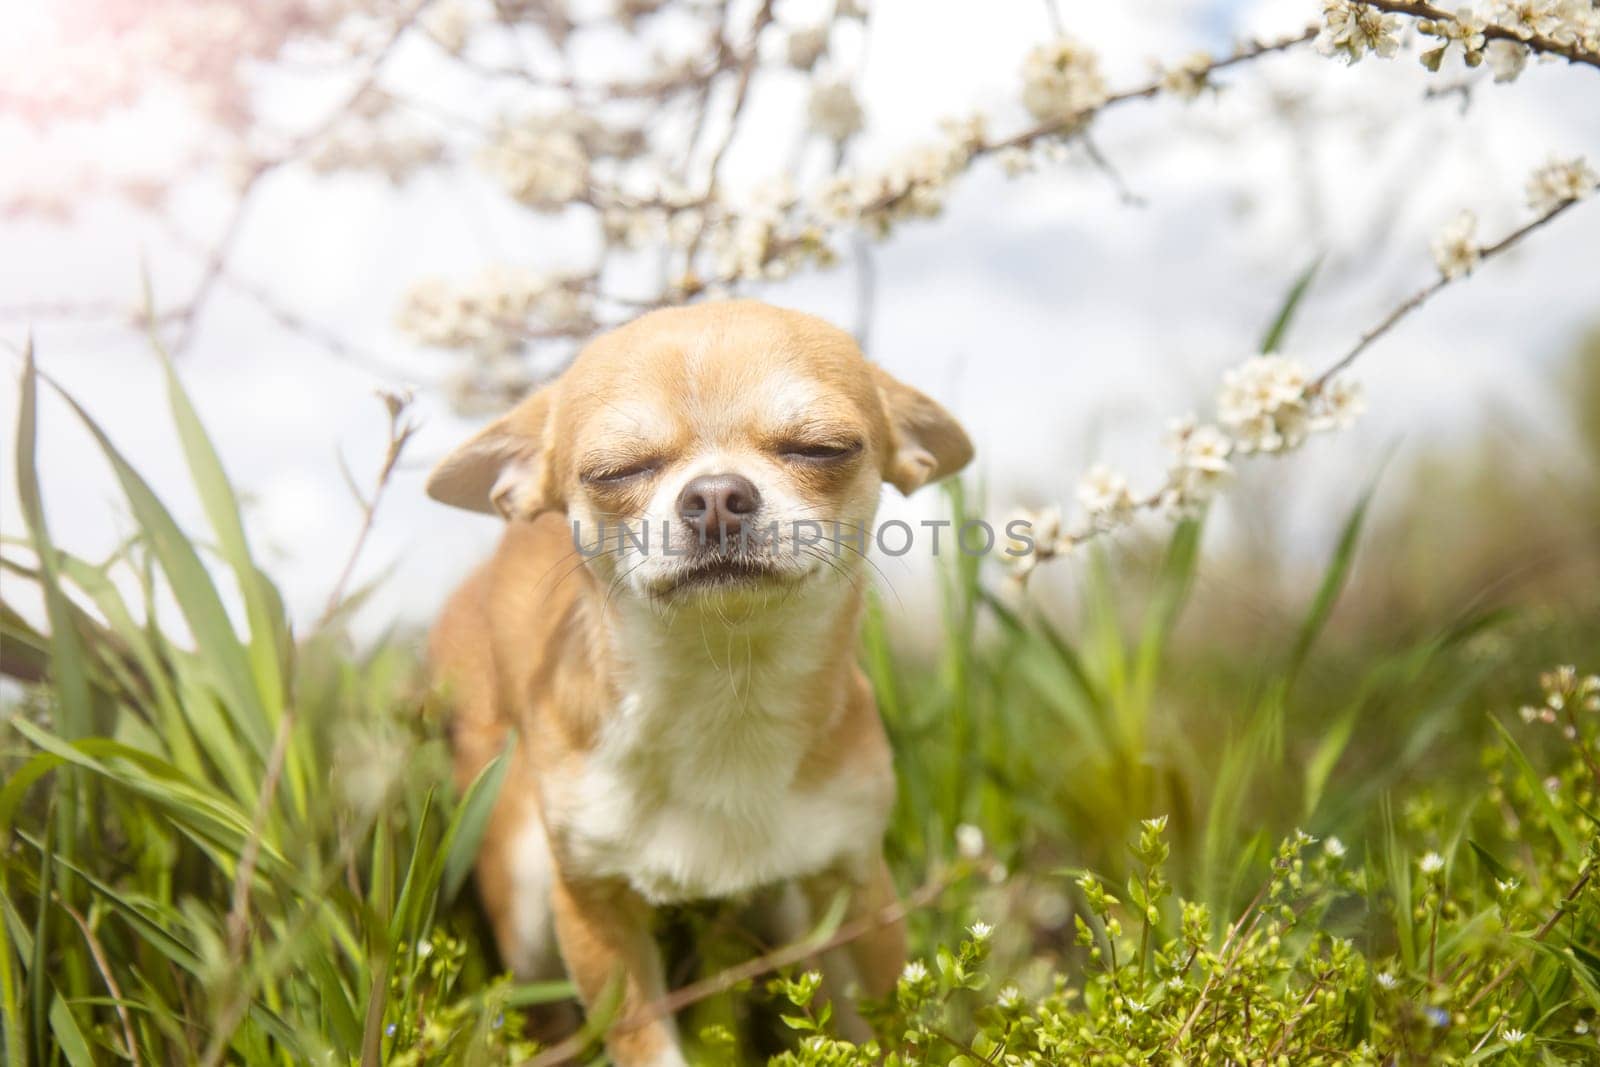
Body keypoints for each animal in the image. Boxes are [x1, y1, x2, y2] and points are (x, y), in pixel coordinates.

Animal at [428, 295, 972, 1062]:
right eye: (615, 469)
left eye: (822, 448)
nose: (716, 494)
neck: (725, 691)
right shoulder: (592, 907)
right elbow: (645, 1042)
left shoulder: (857, 884)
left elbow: (889, 1020)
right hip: (525, 887)